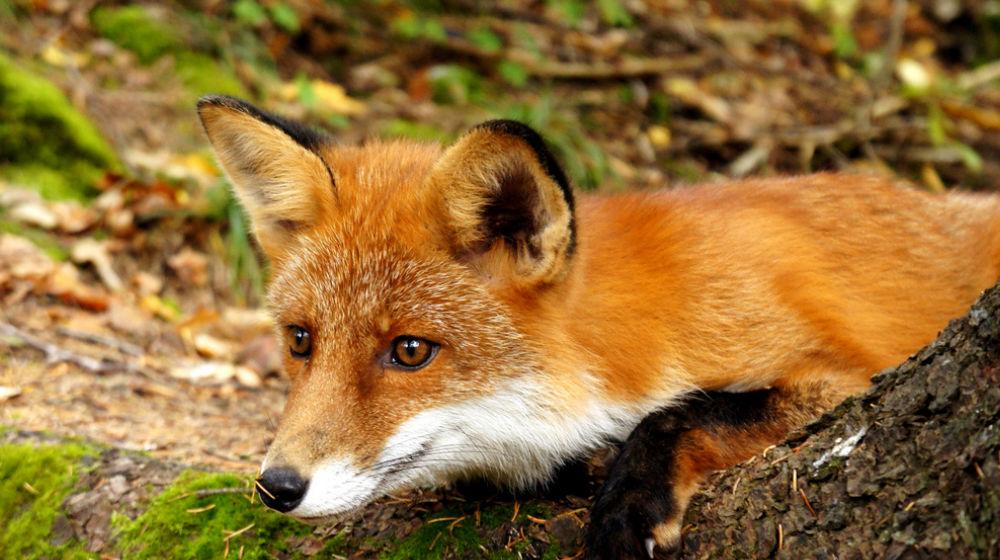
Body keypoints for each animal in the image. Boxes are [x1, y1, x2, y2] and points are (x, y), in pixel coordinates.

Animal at [197, 94, 1000, 559]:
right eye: (301, 341)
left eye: (410, 351)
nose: (276, 487)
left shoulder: (845, 373)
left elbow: (684, 412)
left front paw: (629, 500)